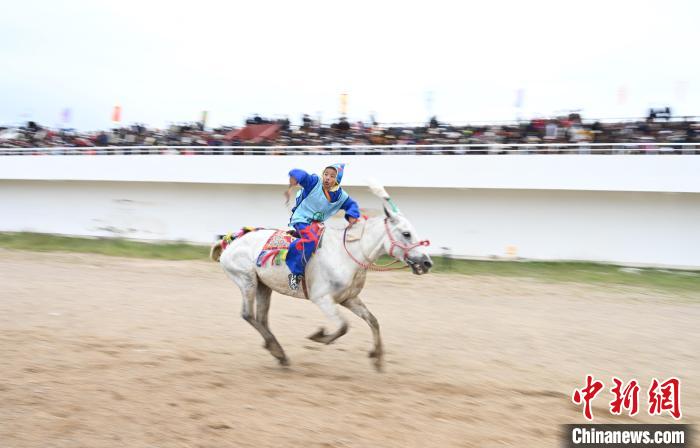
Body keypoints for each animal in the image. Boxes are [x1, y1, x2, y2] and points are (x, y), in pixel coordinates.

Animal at [211, 183, 432, 371]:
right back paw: (278, 351)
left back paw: (277, 351)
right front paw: (319, 336)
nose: (427, 263)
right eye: (406, 234)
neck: (346, 253)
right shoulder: (322, 299)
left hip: (264, 287)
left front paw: (377, 358)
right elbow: (343, 326)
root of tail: (231, 242)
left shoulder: (349, 299)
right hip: (246, 280)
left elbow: (373, 321)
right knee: (248, 315)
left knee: (261, 319)